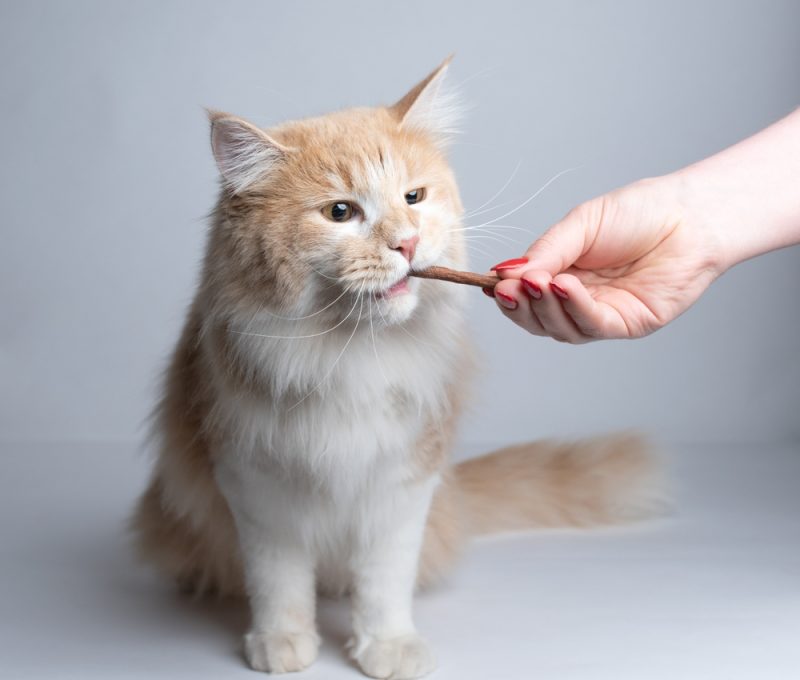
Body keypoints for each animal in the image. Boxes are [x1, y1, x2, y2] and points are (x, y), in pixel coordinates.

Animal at [131, 59, 656, 680]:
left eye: (414, 196)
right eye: (340, 212)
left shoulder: (403, 481)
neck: (352, 355)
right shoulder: (256, 482)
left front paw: (388, 646)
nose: (407, 243)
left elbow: (383, 581)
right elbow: (279, 580)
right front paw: (282, 641)